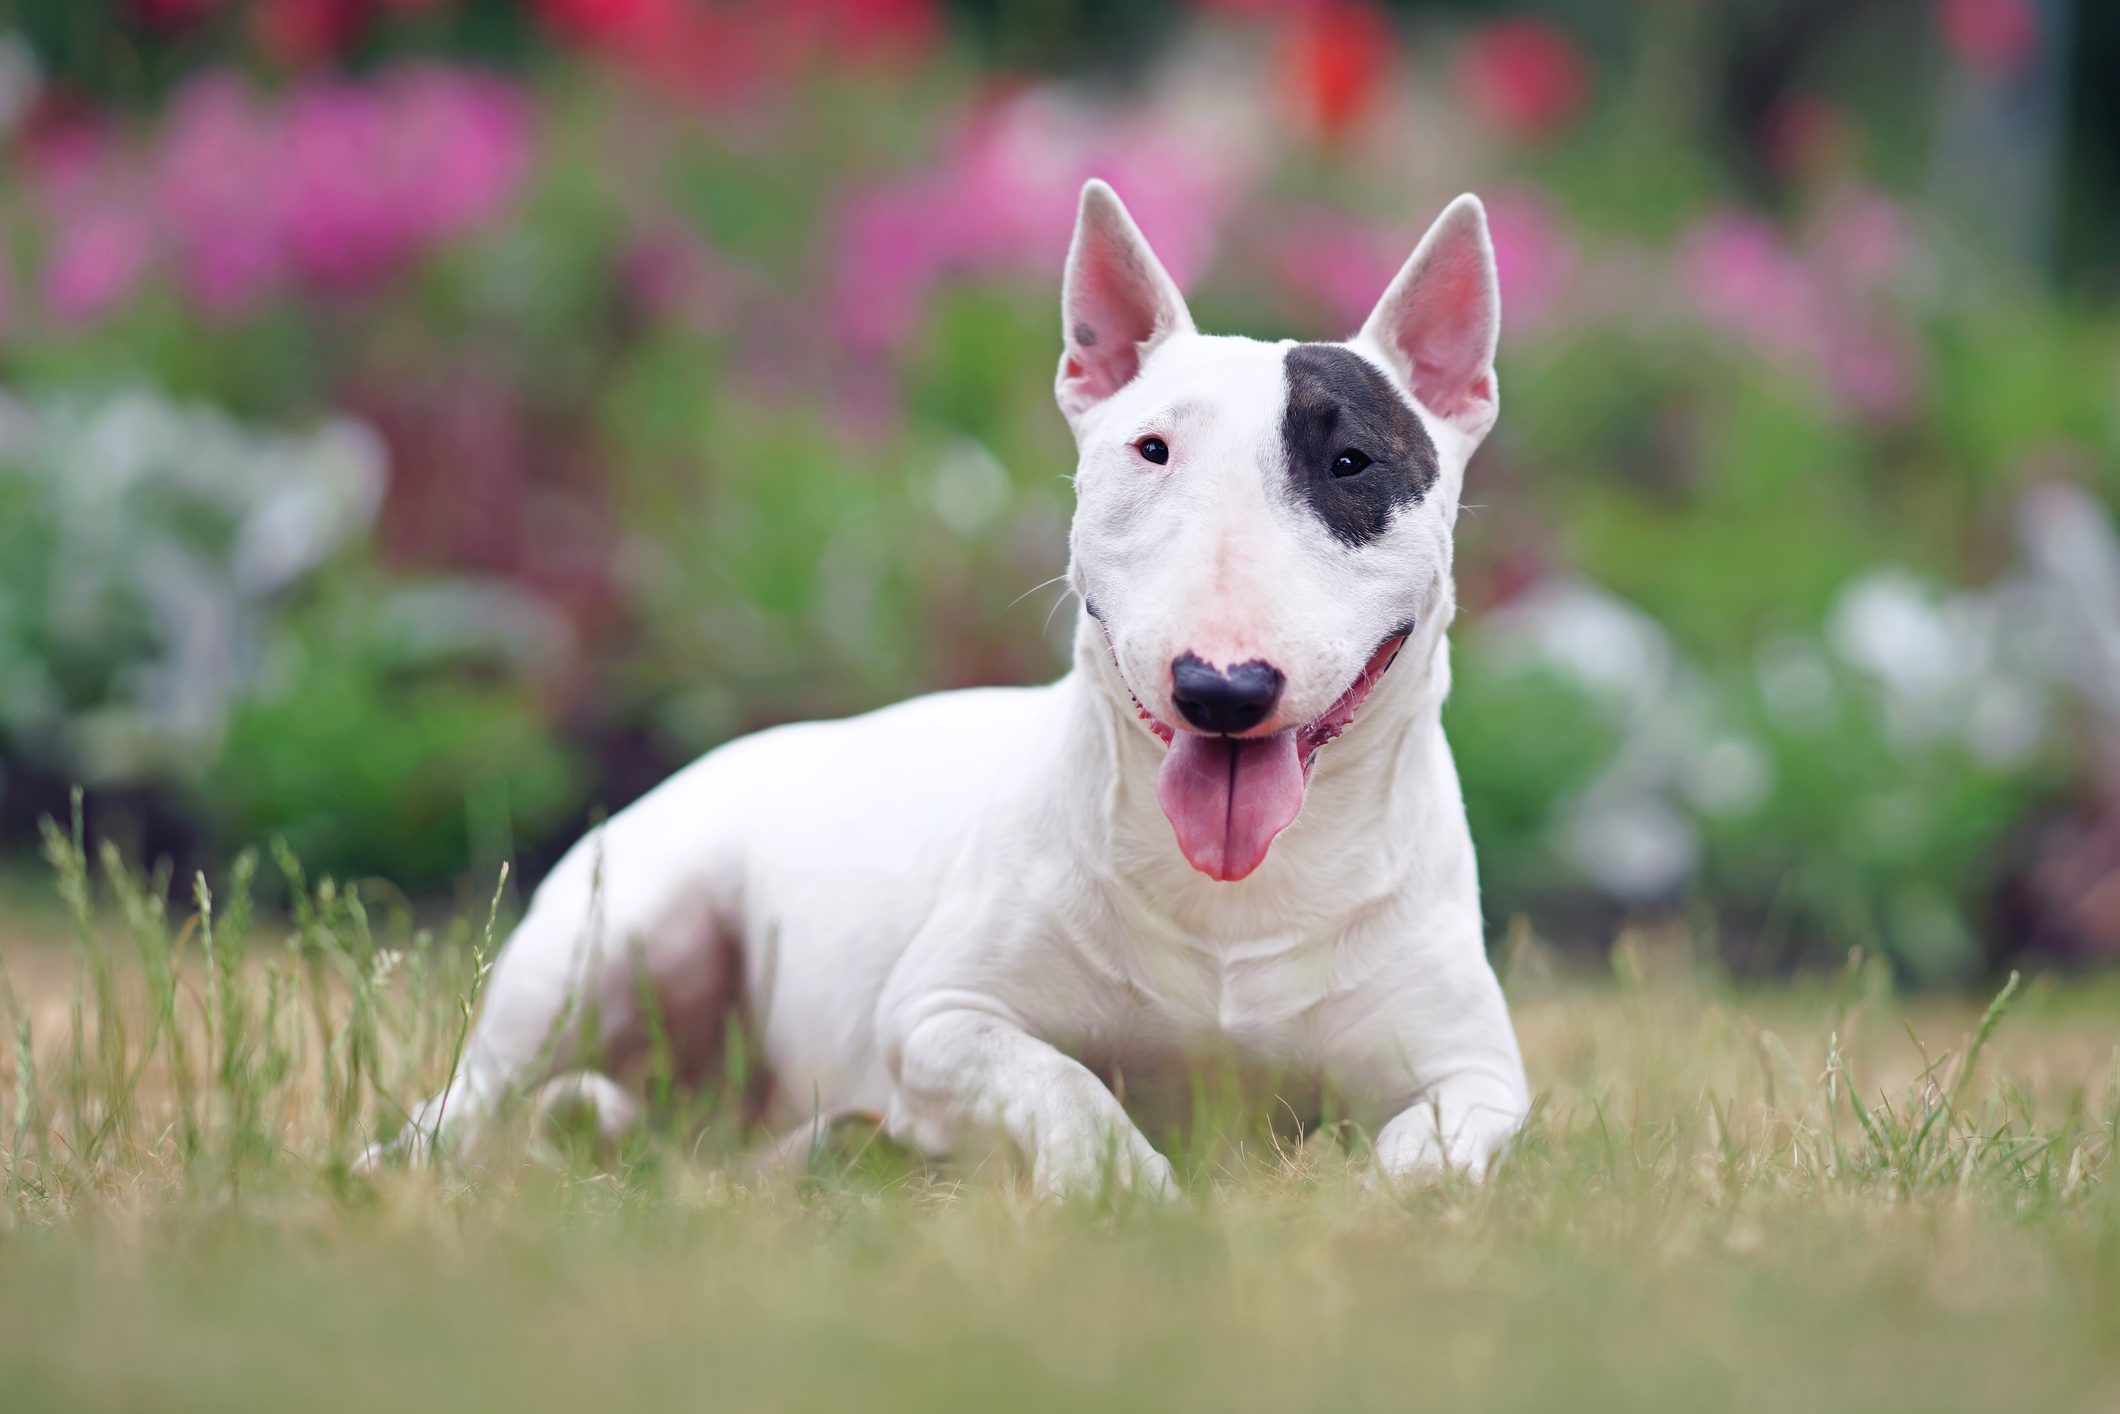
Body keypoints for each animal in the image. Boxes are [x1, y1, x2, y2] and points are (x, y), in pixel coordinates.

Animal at [373, 177, 1534, 1195]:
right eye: (1151, 450)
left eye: (1351, 462)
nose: (1220, 688)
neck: (1234, 904)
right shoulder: (937, 1019)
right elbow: (1062, 1084)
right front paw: (1120, 1185)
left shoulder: (1476, 1075)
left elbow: (1424, 1157)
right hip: (619, 929)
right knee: (479, 1089)